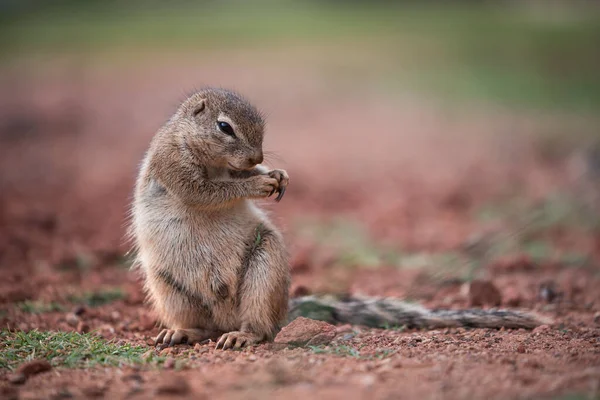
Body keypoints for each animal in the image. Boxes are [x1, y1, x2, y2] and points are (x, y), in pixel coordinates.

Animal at [130, 87, 544, 350]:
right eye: (224, 127)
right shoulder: (175, 165)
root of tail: (228, 319)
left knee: (260, 328)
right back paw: (182, 334)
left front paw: (276, 174)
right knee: (201, 326)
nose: (255, 158)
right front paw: (259, 182)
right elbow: (205, 192)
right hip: (169, 291)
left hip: (263, 271)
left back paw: (242, 335)